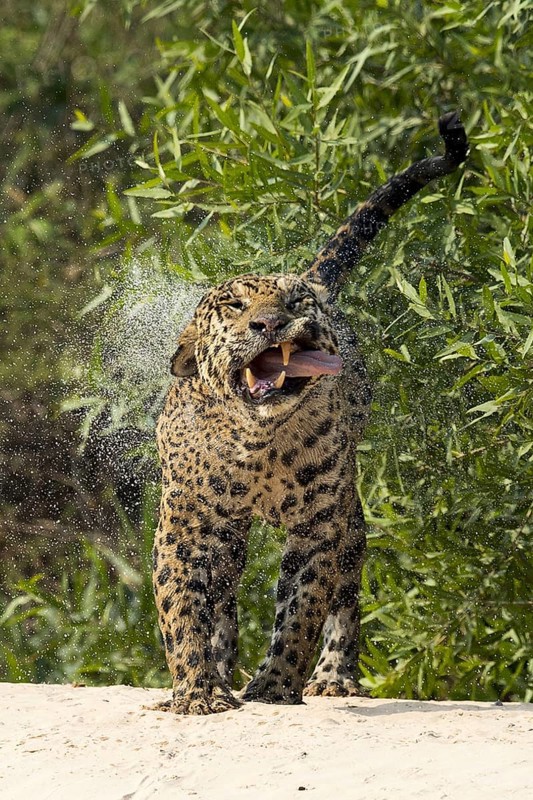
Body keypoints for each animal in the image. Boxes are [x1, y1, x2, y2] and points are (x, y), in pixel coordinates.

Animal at [152, 112, 468, 714]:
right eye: (234, 306)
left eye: (295, 303)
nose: (270, 323)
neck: (257, 442)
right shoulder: (187, 524)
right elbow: (182, 609)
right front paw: (198, 692)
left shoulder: (319, 526)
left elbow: (301, 609)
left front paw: (276, 686)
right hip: (230, 537)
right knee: (222, 599)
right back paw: (222, 669)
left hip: (349, 517)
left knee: (344, 596)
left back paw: (332, 677)